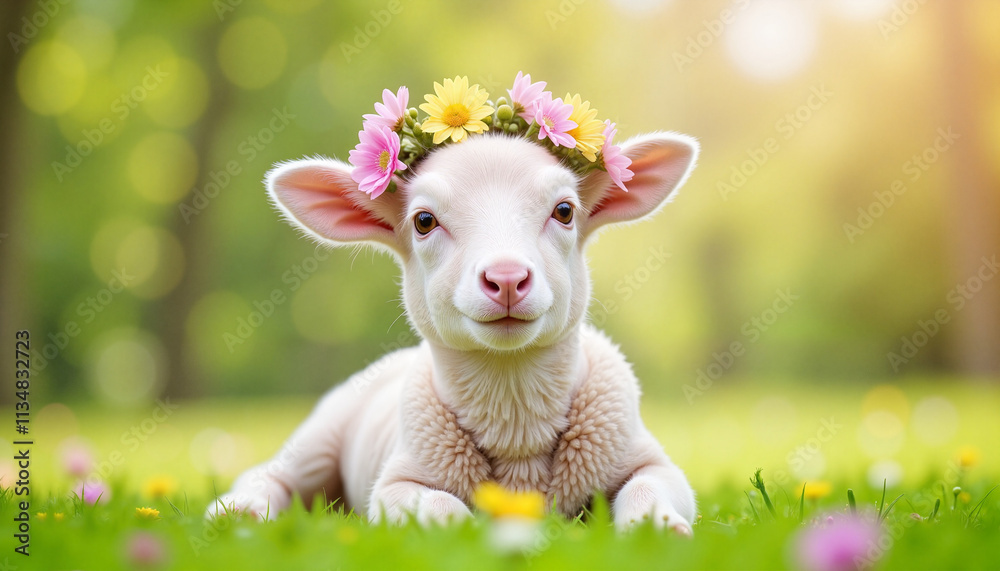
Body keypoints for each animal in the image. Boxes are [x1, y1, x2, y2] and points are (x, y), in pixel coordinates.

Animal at [209, 130, 699, 534]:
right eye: (424, 221)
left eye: (564, 211)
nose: (506, 278)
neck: (514, 415)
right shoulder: (395, 483)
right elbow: (437, 506)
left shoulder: (652, 461)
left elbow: (649, 486)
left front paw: (660, 527)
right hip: (321, 431)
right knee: (272, 474)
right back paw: (239, 510)